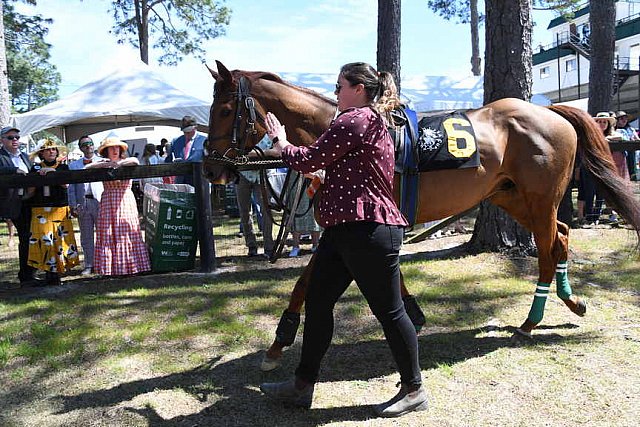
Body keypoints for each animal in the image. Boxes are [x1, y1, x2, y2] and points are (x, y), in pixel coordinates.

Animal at [204, 61, 640, 372]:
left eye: (225, 109)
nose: (211, 169)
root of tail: (554, 113)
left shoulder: (355, 225)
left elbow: (312, 280)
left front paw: (279, 343)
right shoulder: (355, 226)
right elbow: (328, 279)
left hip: (540, 199)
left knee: (549, 250)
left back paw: (530, 322)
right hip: (513, 198)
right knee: (562, 236)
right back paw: (571, 301)